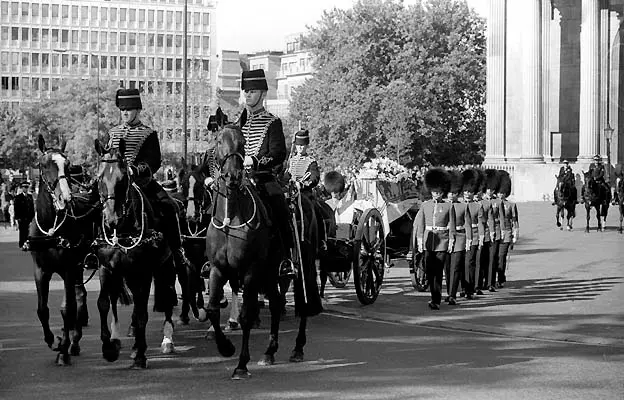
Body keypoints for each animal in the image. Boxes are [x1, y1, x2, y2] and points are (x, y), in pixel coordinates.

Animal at [28, 135, 100, 366]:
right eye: (44, 164)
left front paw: (63, 349)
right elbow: (42, 309)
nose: (65, 198)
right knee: (79, 295)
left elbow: (67, 309)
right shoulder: (40, 270)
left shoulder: (68, 268)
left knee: (78, 299)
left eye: (67, 165)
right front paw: (53, 340)